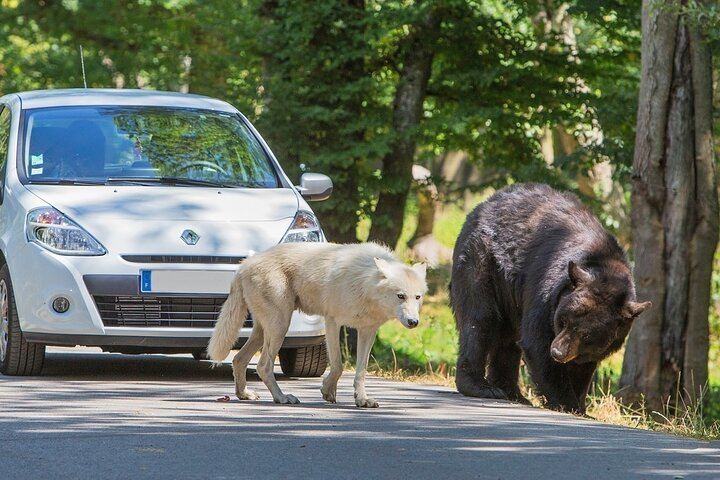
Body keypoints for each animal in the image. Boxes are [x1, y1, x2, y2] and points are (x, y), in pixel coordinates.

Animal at [205, 242, 428, 406]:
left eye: (417, 297)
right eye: (400, 296)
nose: (414, 322)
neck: (364, 283)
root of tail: (243, 265)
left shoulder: (367, 331)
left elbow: (361, 371)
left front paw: (362, 400)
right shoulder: (332, 322)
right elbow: (337, 365)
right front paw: (327, 391)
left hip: (264, 330)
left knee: (239, 359)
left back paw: (244, 394)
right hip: (280, 326)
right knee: (262, 366)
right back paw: (282, 398)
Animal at [448, 184, 648, 412]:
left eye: (588, 334)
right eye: (563, 320)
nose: (558, 352)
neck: (605, 266)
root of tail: (483, 204)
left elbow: (584, 365)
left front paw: (581, 403)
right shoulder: (546, 291)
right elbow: (537, 342)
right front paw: (567, 402)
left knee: (507, 338)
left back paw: (513, 393)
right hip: (482, 261)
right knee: (480, 319)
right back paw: (481, 387)